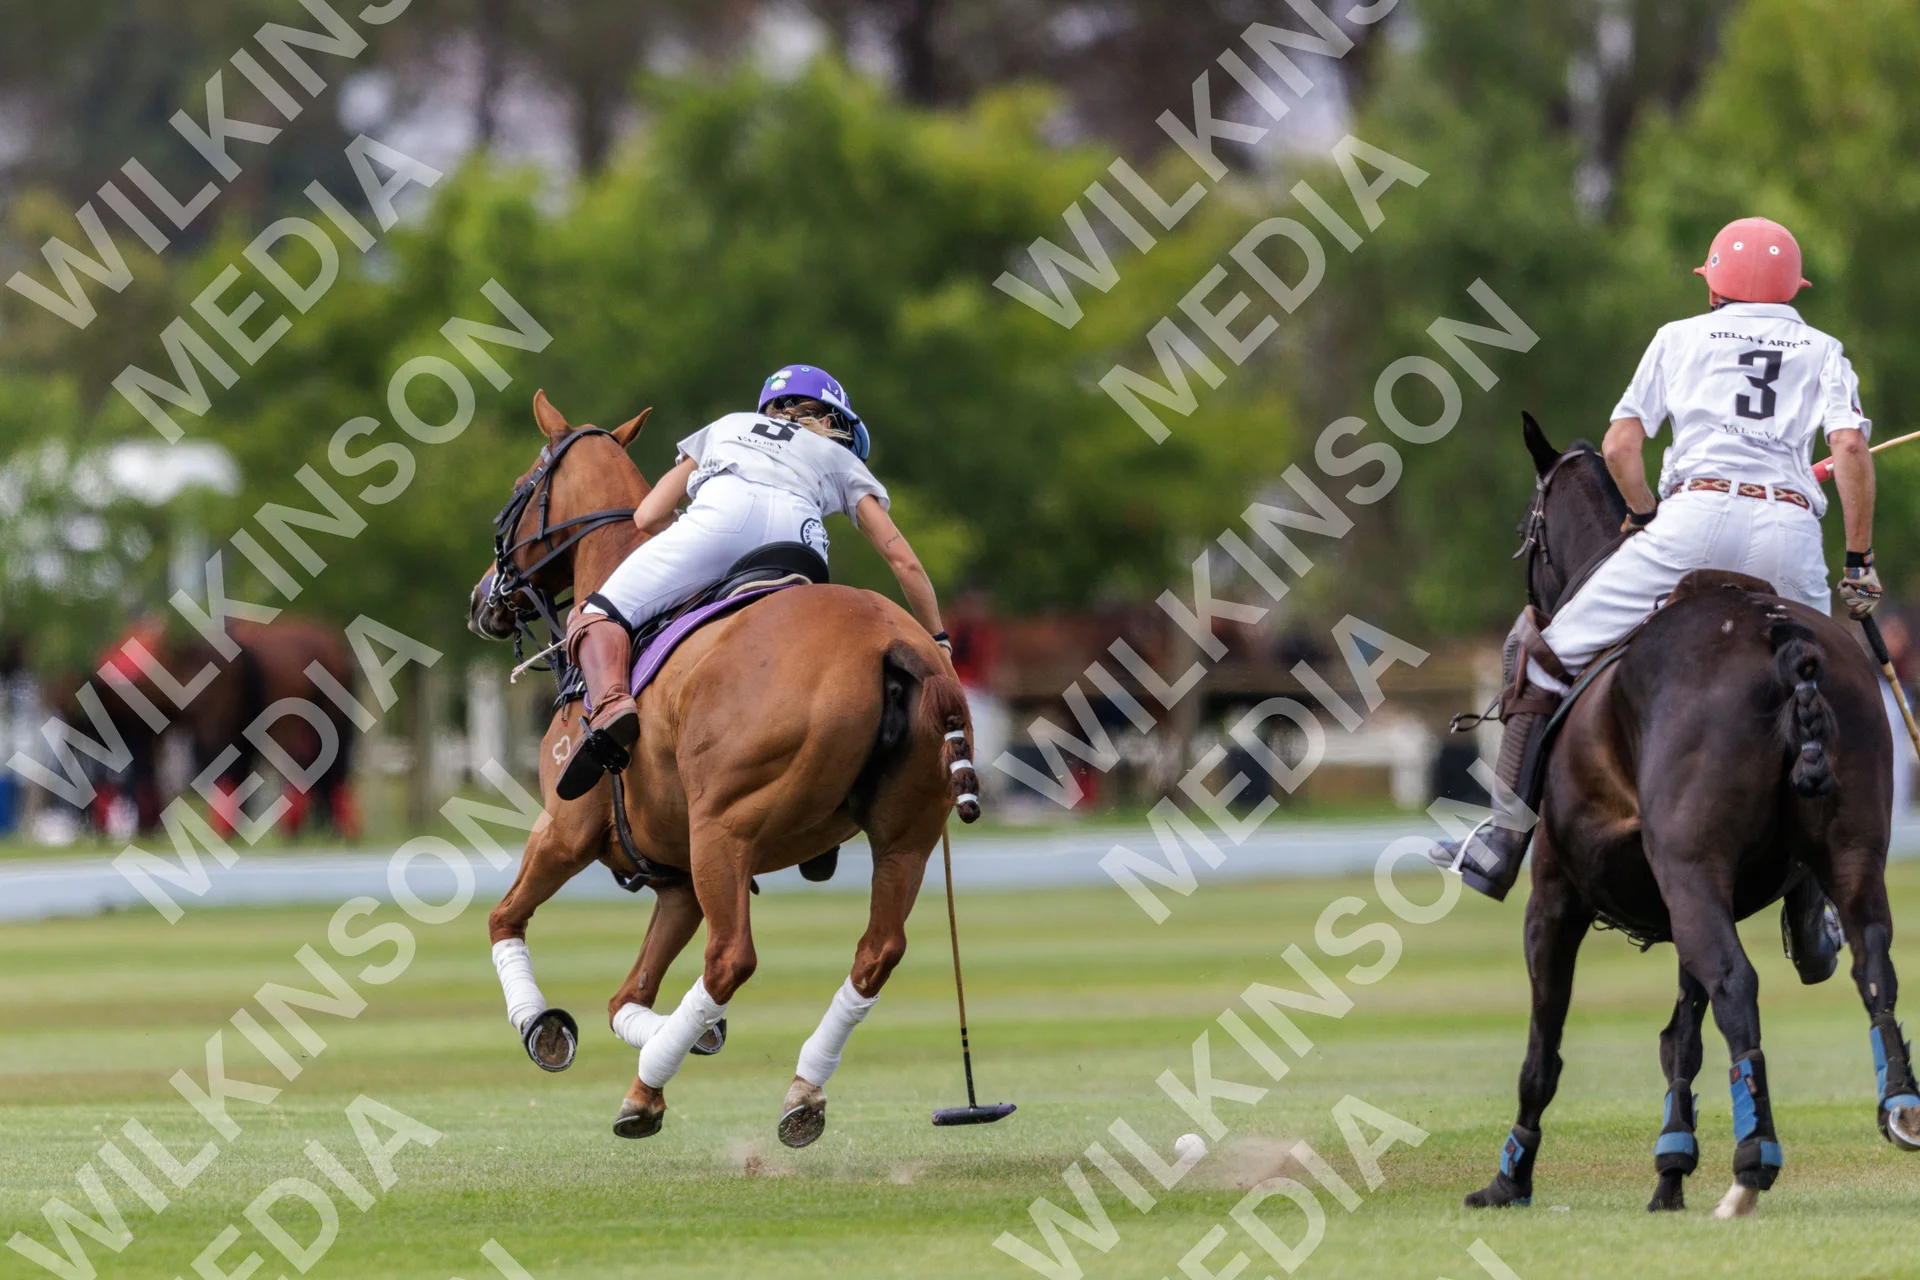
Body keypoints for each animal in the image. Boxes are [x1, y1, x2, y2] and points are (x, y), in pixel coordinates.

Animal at [468, 390, 978, 1144]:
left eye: (518, 489)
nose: (483, 600)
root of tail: (894, 644)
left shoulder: (566, 830)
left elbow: (505, 918)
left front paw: (545, 1028)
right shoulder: (674, 877)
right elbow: (626, 995)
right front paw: (693, 1033)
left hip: (724, 828)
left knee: (732, 955)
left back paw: (645, 1094)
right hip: (906, 836)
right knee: (876, 952)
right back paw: (801, 1093)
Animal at [1465, 413, 1919, 1218]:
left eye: (1527, 529)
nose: (1535, 597)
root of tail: (1783, 641)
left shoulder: (1557, 895)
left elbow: (1544, 1049)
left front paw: (1510, 1178)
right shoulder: (1690, 899)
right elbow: (1683, 1034)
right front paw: (1669, 1170)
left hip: (1687, 865)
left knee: (1739, 983)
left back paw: (1753, 1163)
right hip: (1849, 846)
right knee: (1873, 960)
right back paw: (1898, 1105)